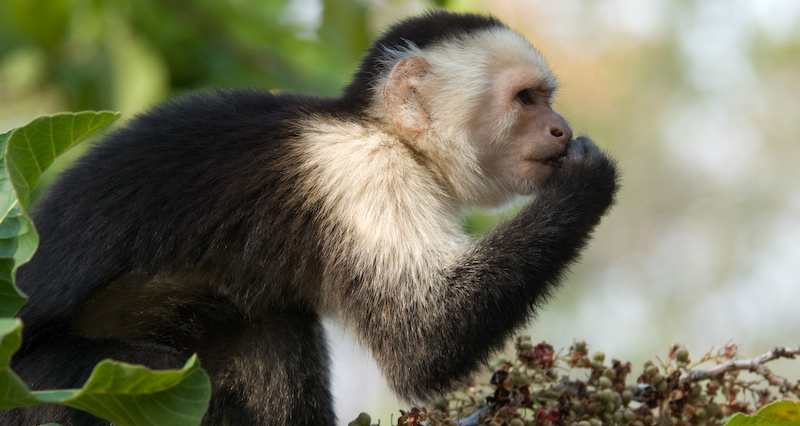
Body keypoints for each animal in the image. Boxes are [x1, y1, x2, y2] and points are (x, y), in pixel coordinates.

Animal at [1, 10, 620, 426]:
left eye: (546, 98)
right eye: (525, 99)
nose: (561, 128)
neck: (379, 130)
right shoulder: (363, 171)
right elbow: (423, 338)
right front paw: (586, 179)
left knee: (266, 327)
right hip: (38, 391)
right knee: (152, 368)